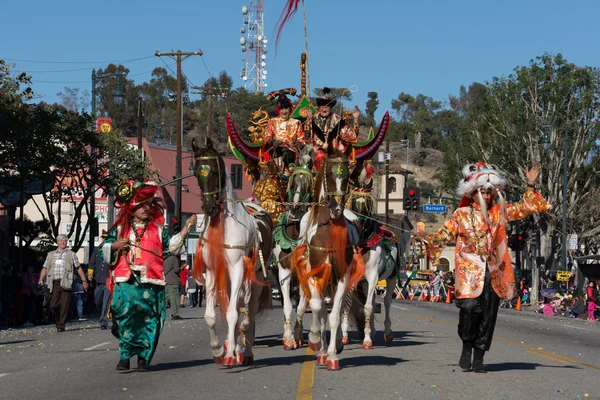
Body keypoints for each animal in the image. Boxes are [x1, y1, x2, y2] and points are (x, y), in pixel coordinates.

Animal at [191, 137, 274, 366]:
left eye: (214, 171)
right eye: (196, 173)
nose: (209, 207)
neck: (226, 227)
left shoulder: (238, 269)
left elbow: (233, 315)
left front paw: (230, 354)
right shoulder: (212, 271)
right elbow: (211, 316)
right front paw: (219, 349)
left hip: (255, 279)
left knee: (249, 311)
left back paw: (245, 352)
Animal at [290, 147, 366, 372]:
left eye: (347, 176)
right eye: (330, 175)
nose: (336, 207)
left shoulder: (342, 276)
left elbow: (334, 314)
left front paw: (333, 353)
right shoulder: (315, 273)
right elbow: (317, 308)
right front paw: (316, 341)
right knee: (318, 308)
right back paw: (320, 349)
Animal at [342, 159, 398, 346]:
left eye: (368, 203)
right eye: (353, 201)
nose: (359, 223)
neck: (363, 244)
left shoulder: (374, 277)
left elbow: (367, 307)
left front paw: (366, 340)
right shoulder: (354, 278)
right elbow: (349, 304)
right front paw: (345, 336)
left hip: (390, 278)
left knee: (386, 302)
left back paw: (387, 333)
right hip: (366, 283)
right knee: (373, 302)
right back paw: (372, 331)